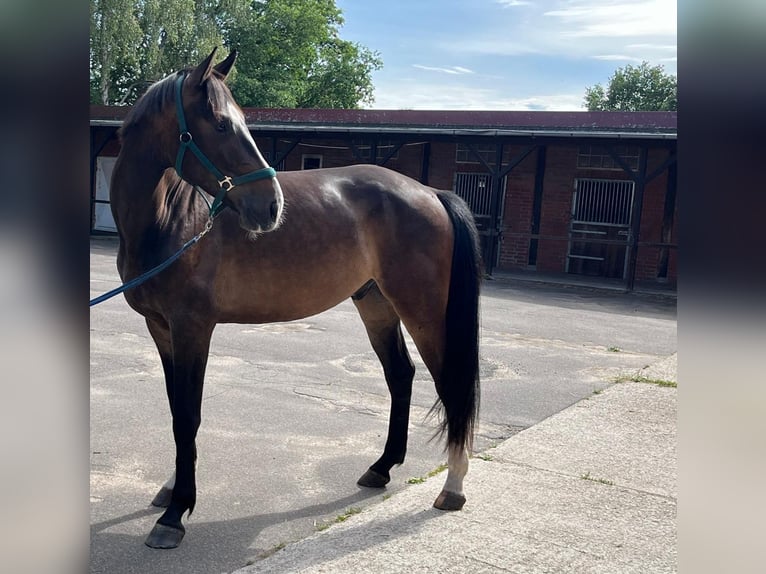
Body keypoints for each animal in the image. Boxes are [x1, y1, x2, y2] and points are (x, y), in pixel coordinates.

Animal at [109, 48, 480, 548]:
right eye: (221, 124)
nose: (271, 207)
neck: (172, 219)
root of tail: (431, 193)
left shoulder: (193, 329)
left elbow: (188, 415)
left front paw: (175, 514)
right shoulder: (161, 329)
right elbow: (178, 410)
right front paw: (172, 491)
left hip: (422, 311)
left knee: (449, 383)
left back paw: (452, 487)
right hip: (376, 304)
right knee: (400, 375)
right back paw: (381, 468)